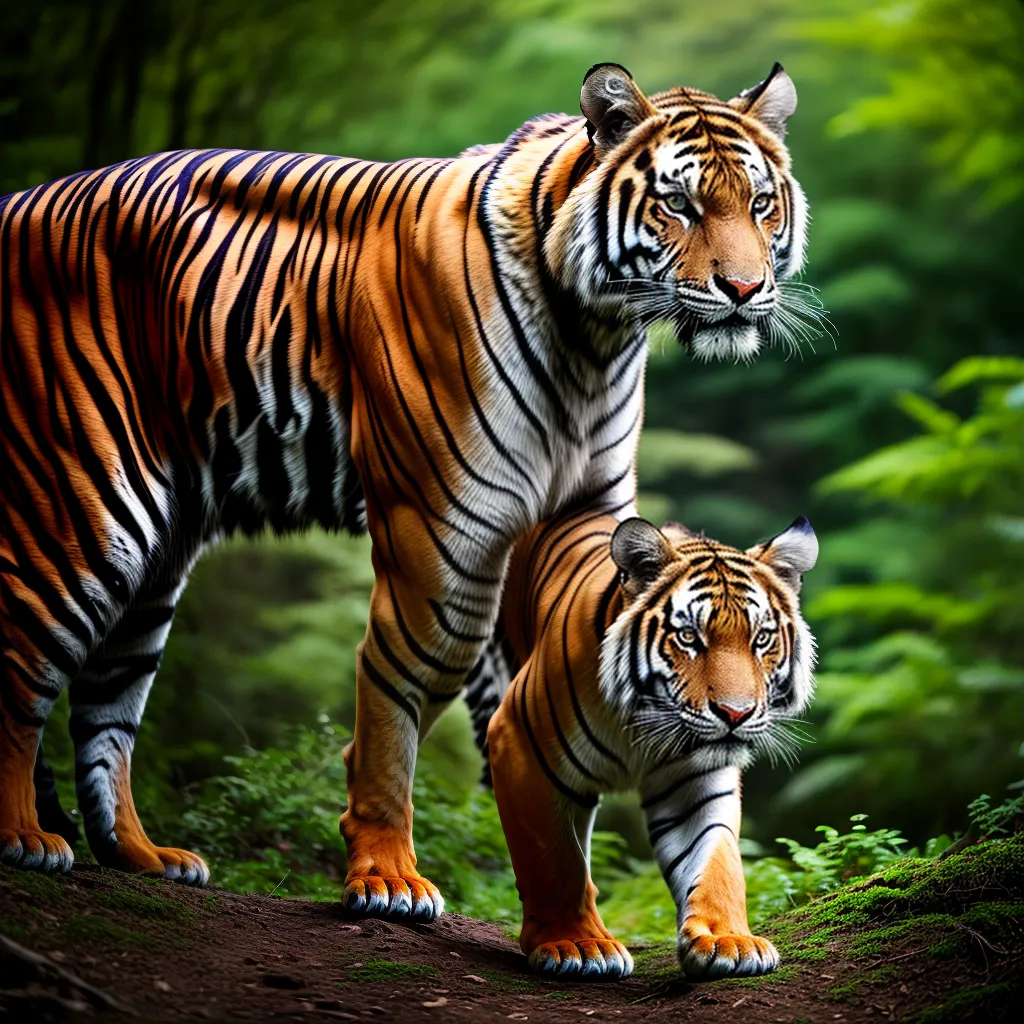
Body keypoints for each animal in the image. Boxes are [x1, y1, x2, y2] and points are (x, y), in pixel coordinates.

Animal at [0, 62, 815, 915]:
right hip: (84, 500)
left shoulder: (584, 504)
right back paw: (25, 836)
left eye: (760, 202)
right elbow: (410, 679)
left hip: (157, 548)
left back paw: (142, 855)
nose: (744, 288)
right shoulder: (443, 525)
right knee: (23, 657)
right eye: (679, 203)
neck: (595, 335)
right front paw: (386, 872)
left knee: (110, 699)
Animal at [482, 511, 817, 979]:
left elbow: (717, 861)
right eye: (689, 637)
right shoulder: (518, 740)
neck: (644, 723)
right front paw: (576, 944)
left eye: (761, 639)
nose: (735, 714)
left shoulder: (696, 781)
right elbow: (554, 858)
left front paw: (728, 941)